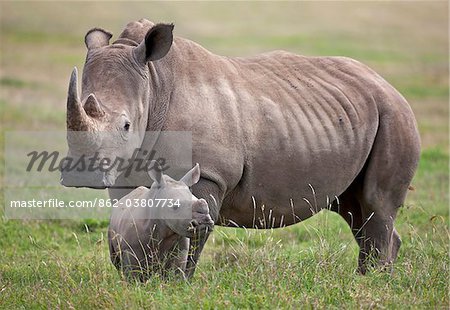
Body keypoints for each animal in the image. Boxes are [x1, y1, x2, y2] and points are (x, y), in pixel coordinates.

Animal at [62, 18, 422, 278]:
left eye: (126, 126)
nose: (84, 175)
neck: (153, 85)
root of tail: (385, 83)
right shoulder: (124, 174)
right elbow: (127, 220)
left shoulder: (209, 175)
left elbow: (193, 235)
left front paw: (178, 283)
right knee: (353, 208)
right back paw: (367, 279)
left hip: (394, 113)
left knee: (376, 202)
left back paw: (373, 282)